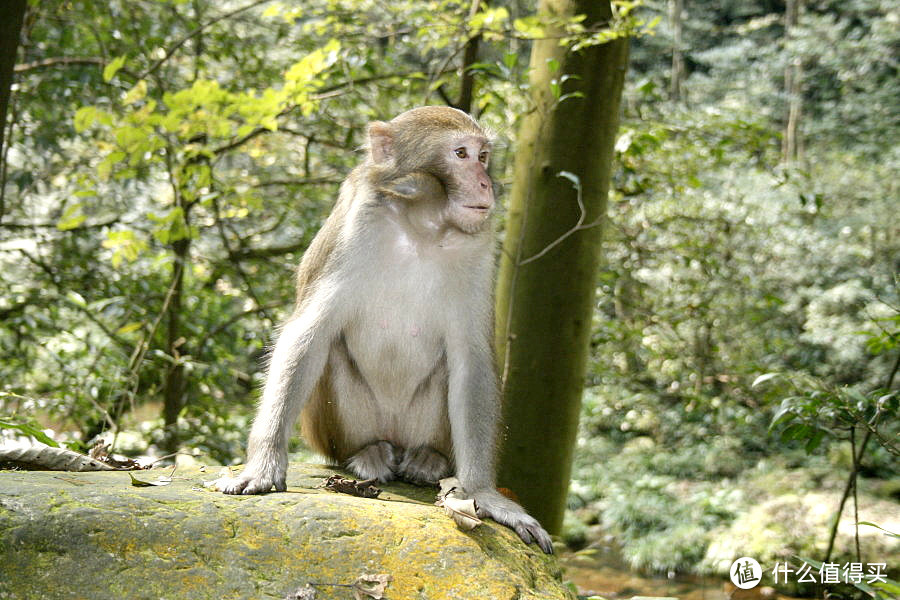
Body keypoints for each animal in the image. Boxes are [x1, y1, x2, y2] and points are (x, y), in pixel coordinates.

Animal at [218, 106, 556, 552]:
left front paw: (483, 494)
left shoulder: (478, 246)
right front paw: (262, 464)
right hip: (333, 432)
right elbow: (307, 336)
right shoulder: (356, 226)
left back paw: (429, 459)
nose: (486, 183)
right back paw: (368, 454)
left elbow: (472, 360)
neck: (421, 227)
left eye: (483, 156)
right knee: (333, 351)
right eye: (460, 154)